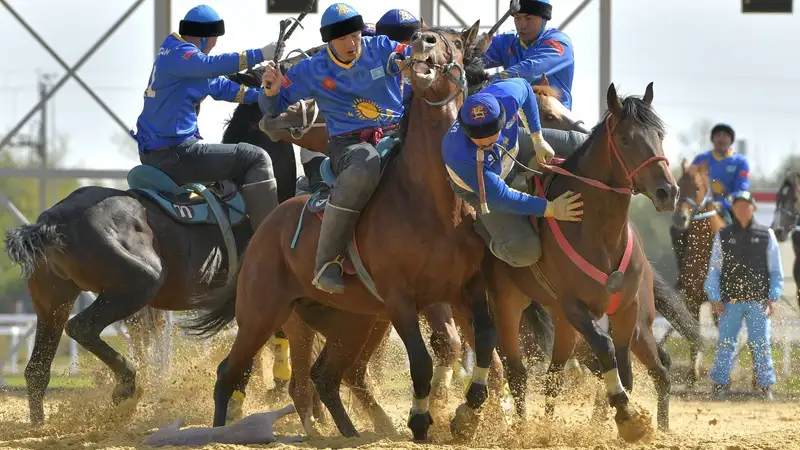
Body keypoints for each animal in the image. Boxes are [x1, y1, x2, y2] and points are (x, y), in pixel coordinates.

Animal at [185, 22, 512, 442]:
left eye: (455, 42)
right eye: (424, 33)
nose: (421, 43)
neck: (431, 201)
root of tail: (267, 225)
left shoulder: (467, 288)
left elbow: (485, 342)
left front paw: (466, 414)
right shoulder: (400, 298)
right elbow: (421, 361)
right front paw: (420, 420)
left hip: (350, 322)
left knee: (326, 376)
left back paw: (350, 433)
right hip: (263, 314)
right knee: (232, 373)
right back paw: (218, 434)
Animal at [468, 82, 680, 442]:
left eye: (659, 135)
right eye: (625, 138)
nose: (668, 191)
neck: (601, 236)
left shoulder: (627, 311)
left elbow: (623, 368)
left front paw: (625, 422)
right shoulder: (575, 307)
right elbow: (606, 350)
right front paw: (626, 413)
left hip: (592, 322)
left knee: (559, 375)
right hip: (511, 305)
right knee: (518, 372)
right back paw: (524, 429)